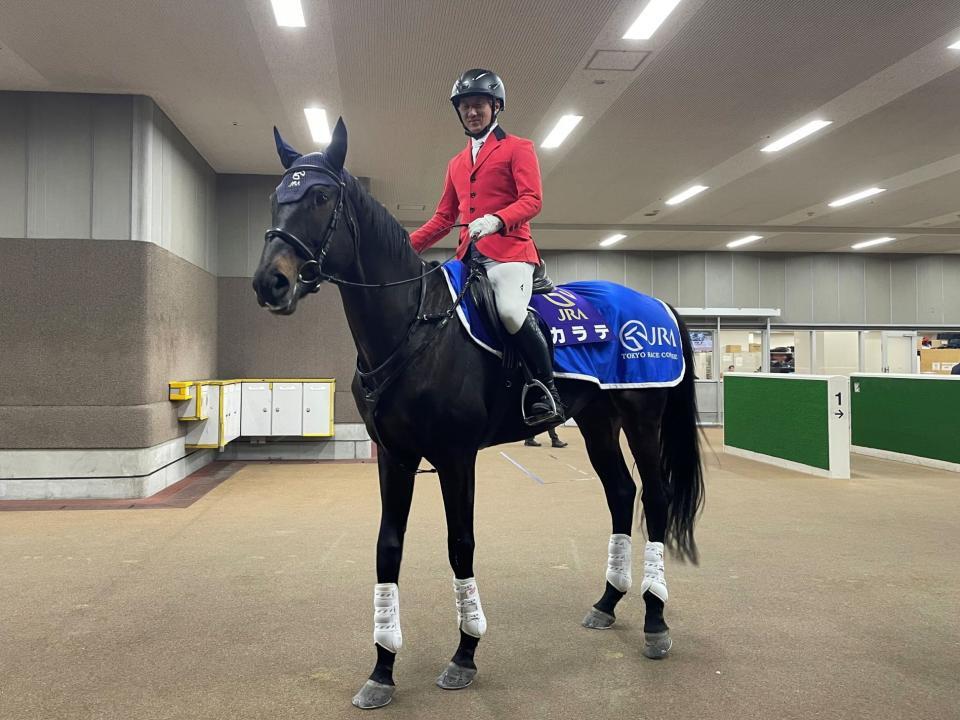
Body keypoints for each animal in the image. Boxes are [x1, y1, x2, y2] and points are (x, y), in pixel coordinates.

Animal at [252, 118, 704, 709]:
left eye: (321, 196)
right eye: (275, 198)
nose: (270, 283)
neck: (414, 326)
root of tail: (656, 303)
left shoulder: (455, 456)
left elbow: (460, 544)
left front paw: (465, 652)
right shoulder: (395, 457)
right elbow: (388, 548)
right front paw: (383, 668)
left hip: (642, 419)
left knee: (654, 496)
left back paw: (655, 620)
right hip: (596, 422)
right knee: (620, 491)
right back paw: (607, 602)